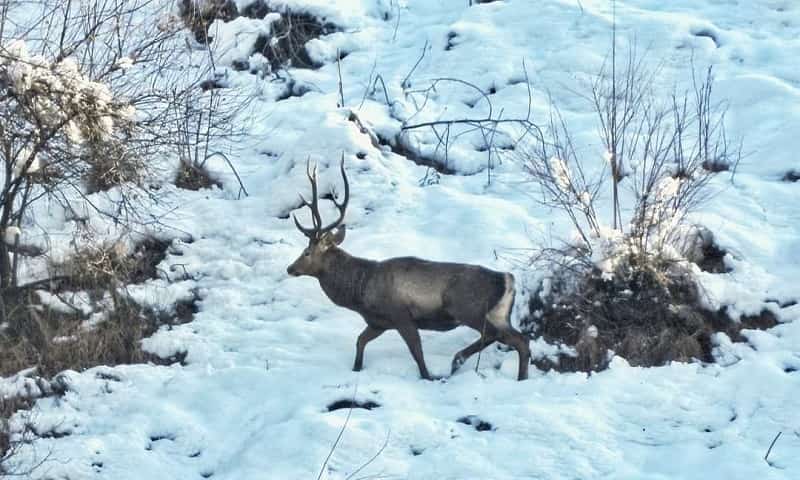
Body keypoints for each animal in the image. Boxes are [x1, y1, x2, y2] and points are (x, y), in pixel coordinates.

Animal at [288, 156, 532, 380]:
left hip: (468, 308)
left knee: (497, 335)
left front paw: (428, 377)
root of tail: (507, 280)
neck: (361, 292)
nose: (290, 268)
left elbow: (417, 352)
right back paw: (517, 376)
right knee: (521, 340)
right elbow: (360, 341)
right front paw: (356, 368)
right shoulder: (379, 322)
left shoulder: (401, 315)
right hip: (500, 314)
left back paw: (458, 360)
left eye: (306, 252)